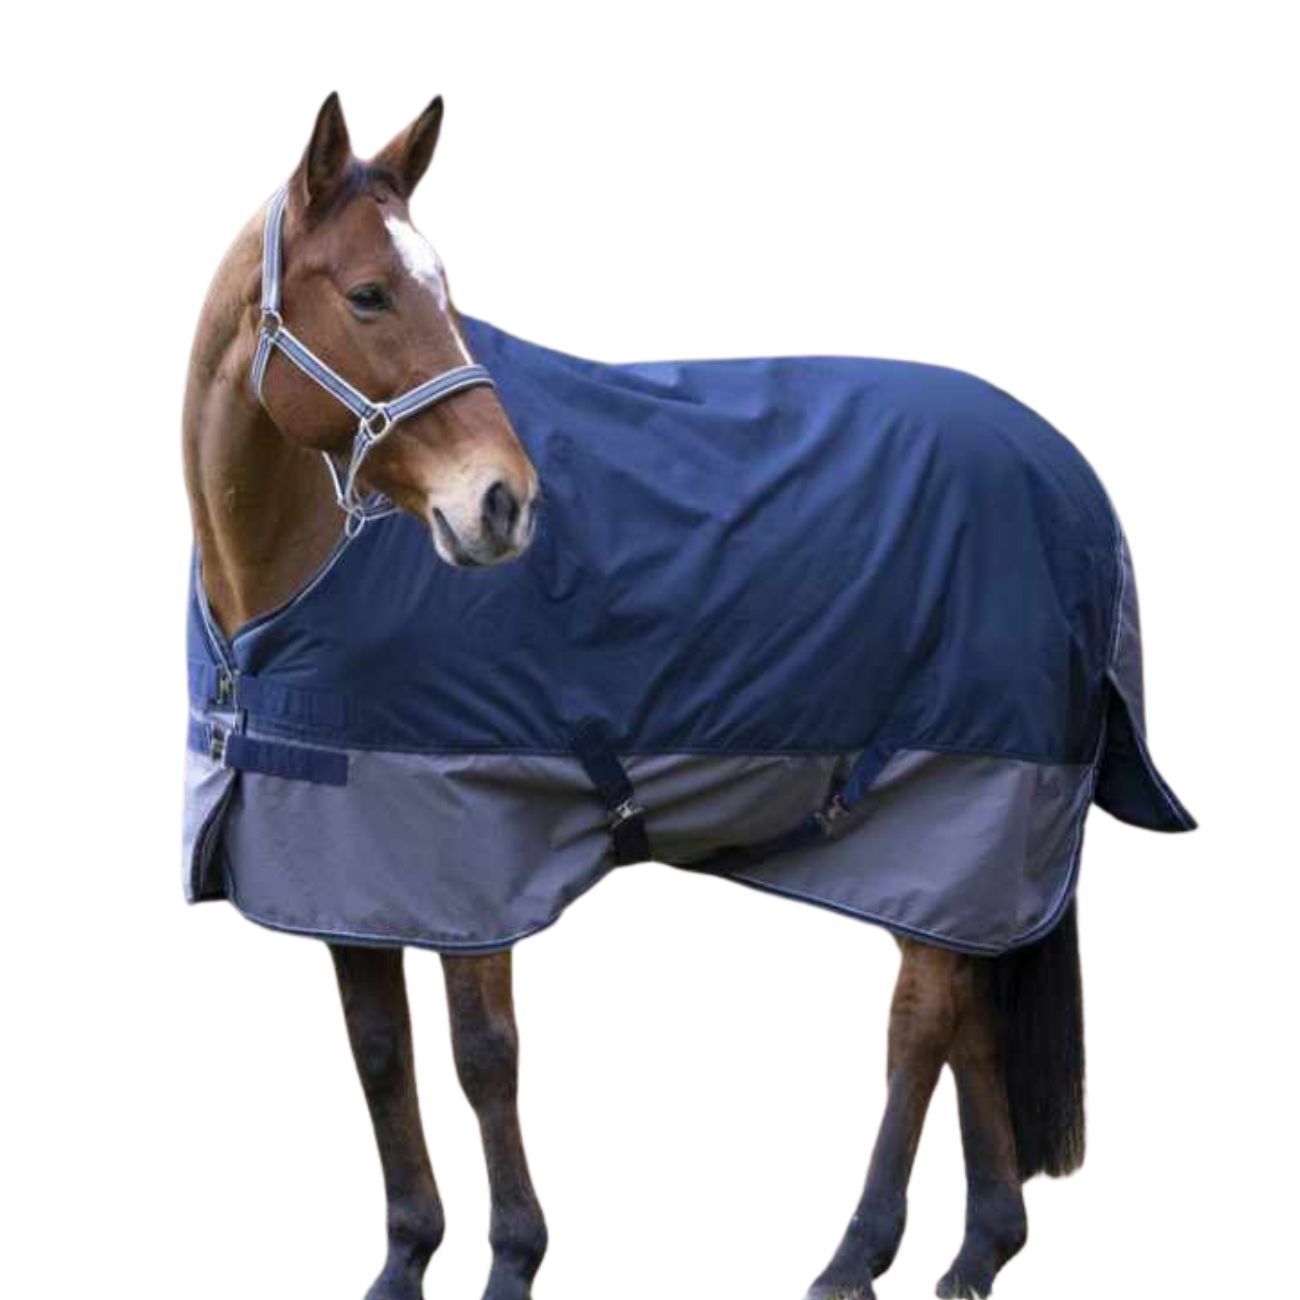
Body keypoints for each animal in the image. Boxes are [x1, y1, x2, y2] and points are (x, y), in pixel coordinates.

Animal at [182, 93, 1192, 1300]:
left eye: (448, 295)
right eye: (371, 294)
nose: (504, 505)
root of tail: (1072, 482)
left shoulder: (472, 856)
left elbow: (484, 1061)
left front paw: (512, 1262)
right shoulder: (348, 863)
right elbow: (380, 1055)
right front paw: (402, 1262)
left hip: (961, 802)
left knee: (919, 1026)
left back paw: (854, 1257)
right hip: (970, 845)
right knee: (971, 1020)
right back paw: (976, 1251)